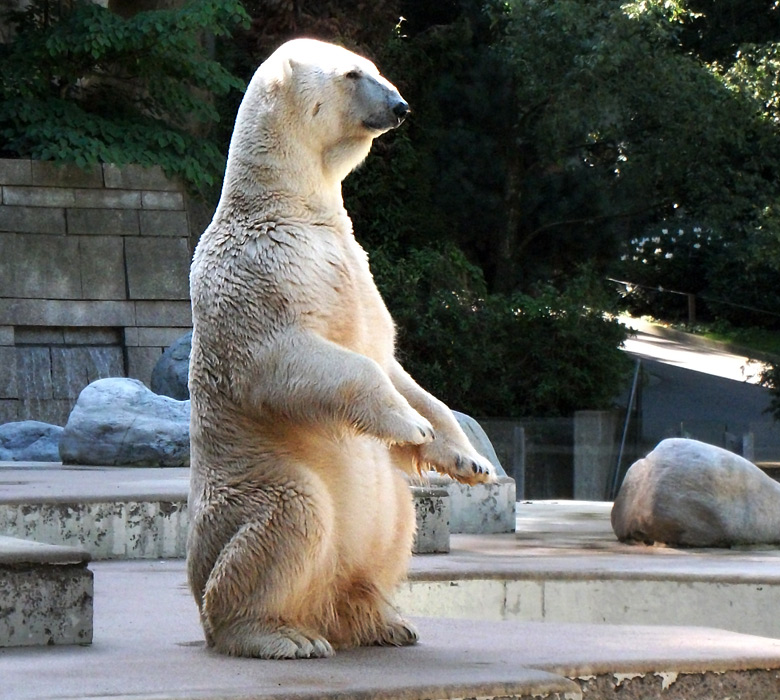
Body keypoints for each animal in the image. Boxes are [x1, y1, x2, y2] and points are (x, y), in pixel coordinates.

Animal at [188, 39, 494, 660]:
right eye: (354, 74)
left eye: (376, 69)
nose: (401, 106)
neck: (288, 206)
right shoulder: (256, 274)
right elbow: (286, 359)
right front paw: (407, 426)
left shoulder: (355, 267)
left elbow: (391, 359)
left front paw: (467, 458)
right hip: (256, 483)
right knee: (288, 518)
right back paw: (281, 634)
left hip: (378, 518)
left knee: (397, 520)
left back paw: (380, 620)